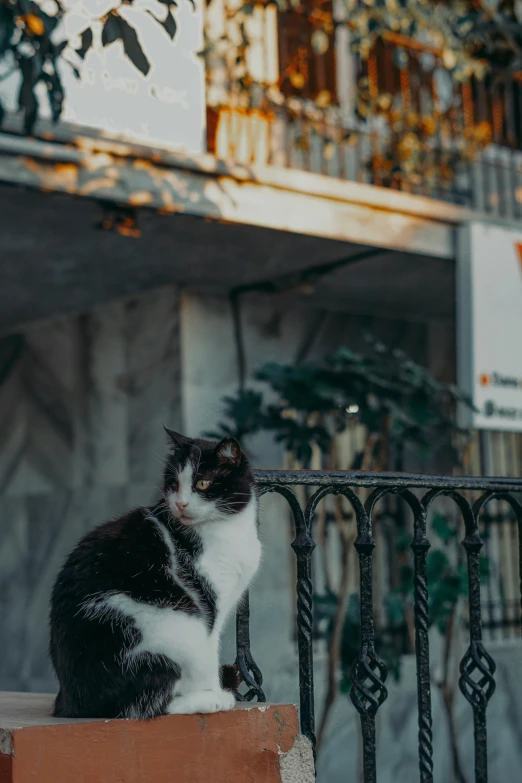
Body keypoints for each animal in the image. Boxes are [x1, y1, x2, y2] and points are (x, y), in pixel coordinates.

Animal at [49, 432, 260, 720]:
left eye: (202, 483)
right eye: (173, 483)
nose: (181, 503)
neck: (228, 529)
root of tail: (71, 703)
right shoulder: (207, 604)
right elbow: (211, 651)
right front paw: (216, 693)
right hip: (174, 630)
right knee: (142, 706)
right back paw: (206, 701)